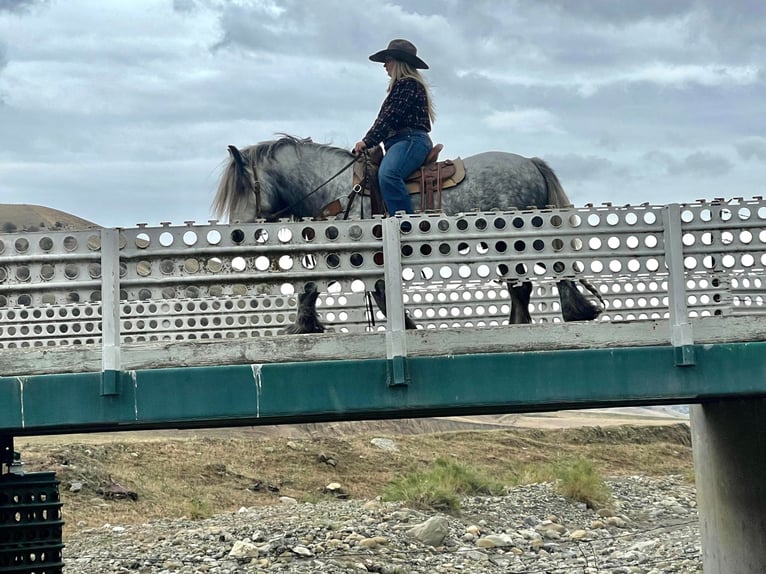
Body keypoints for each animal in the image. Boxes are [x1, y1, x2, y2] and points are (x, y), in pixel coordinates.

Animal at [212, 136, 608, 336]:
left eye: (243, 187)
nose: (236, 234)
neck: (340, 186)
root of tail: (530, 163)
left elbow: (365, 293)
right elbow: (321, 289)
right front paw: (304, 325)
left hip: (514, 240)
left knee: (531, 279)